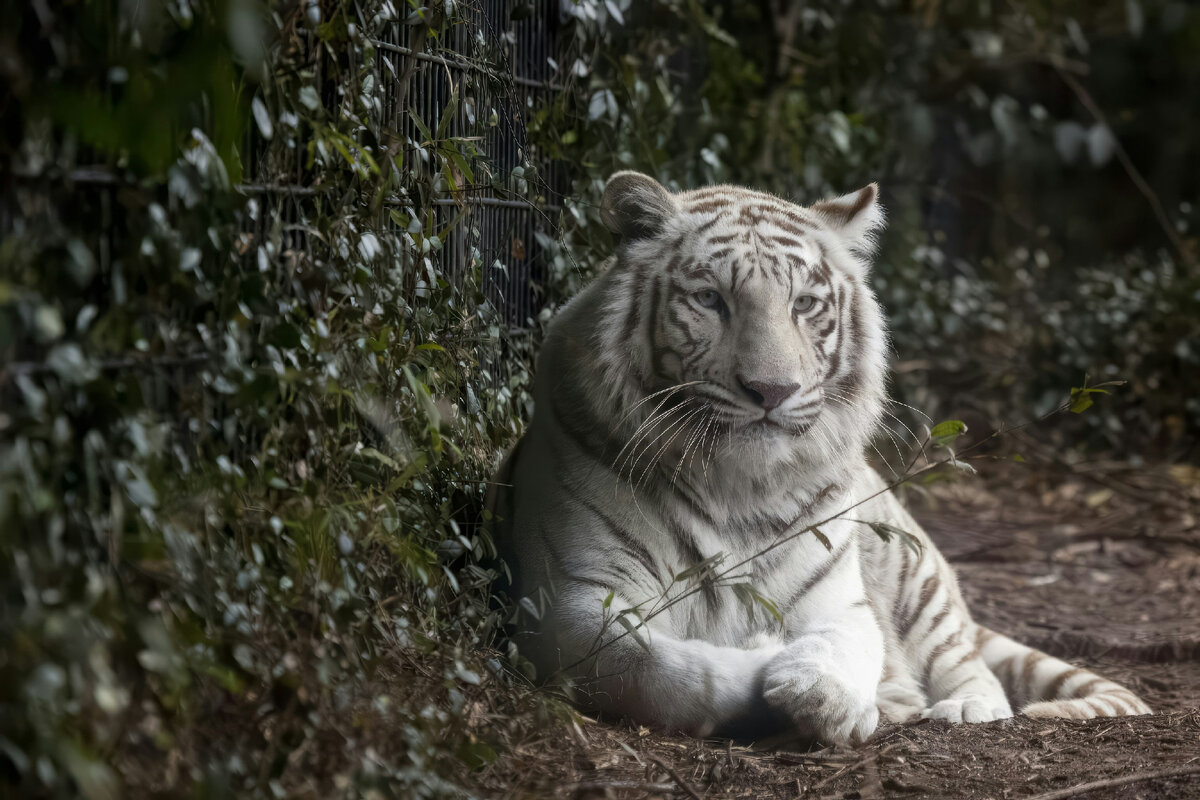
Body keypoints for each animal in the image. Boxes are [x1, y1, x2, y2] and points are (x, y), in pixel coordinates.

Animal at [489, 170, 1152, 743]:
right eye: (710, 299)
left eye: (804, 304)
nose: (772, 390)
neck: (732, 485)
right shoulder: (571, 603)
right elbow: (657, 669)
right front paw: (763, 659)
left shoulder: (839, 601)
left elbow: (842, 645)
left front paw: (824, 697)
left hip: (914, 573)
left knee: (968, 662)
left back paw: (962, 707)